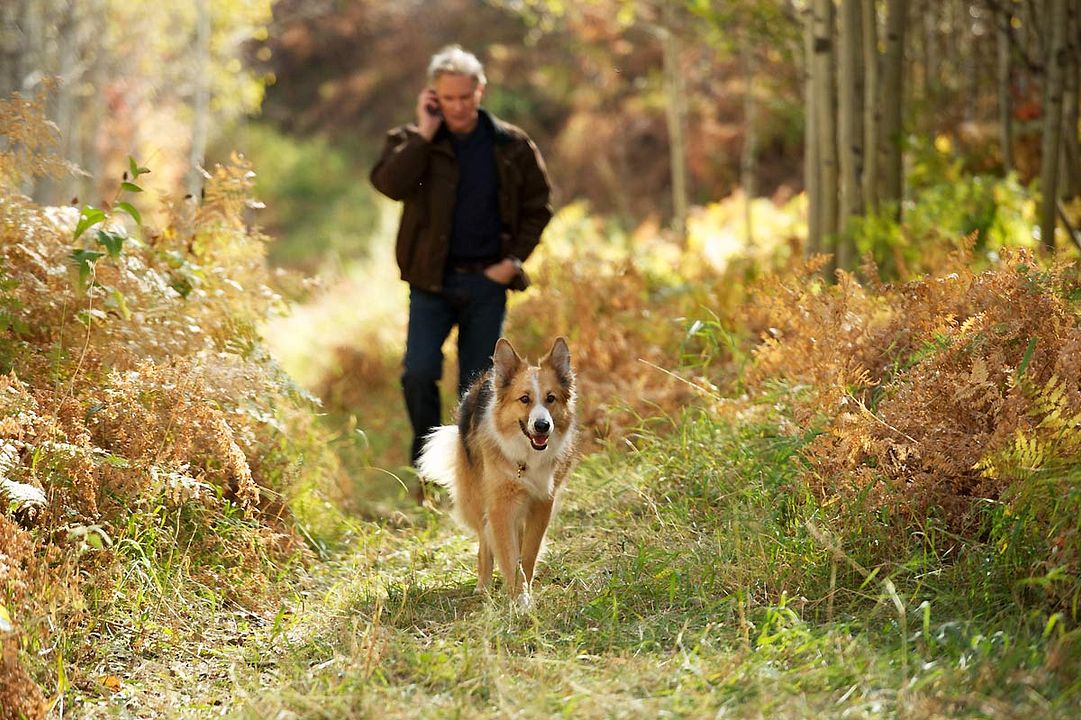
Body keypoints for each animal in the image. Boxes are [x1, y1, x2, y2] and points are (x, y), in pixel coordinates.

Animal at [417, 337, 579, 605]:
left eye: (551, 398)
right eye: (524, 399)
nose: (542, 425)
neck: (526, 456)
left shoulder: (541, 504)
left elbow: (528, 554)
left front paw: (523, 591)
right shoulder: (500, 506)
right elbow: (509, 555)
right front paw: (520, 599)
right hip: (477, 498)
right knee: (485, 542)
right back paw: (483, 586)